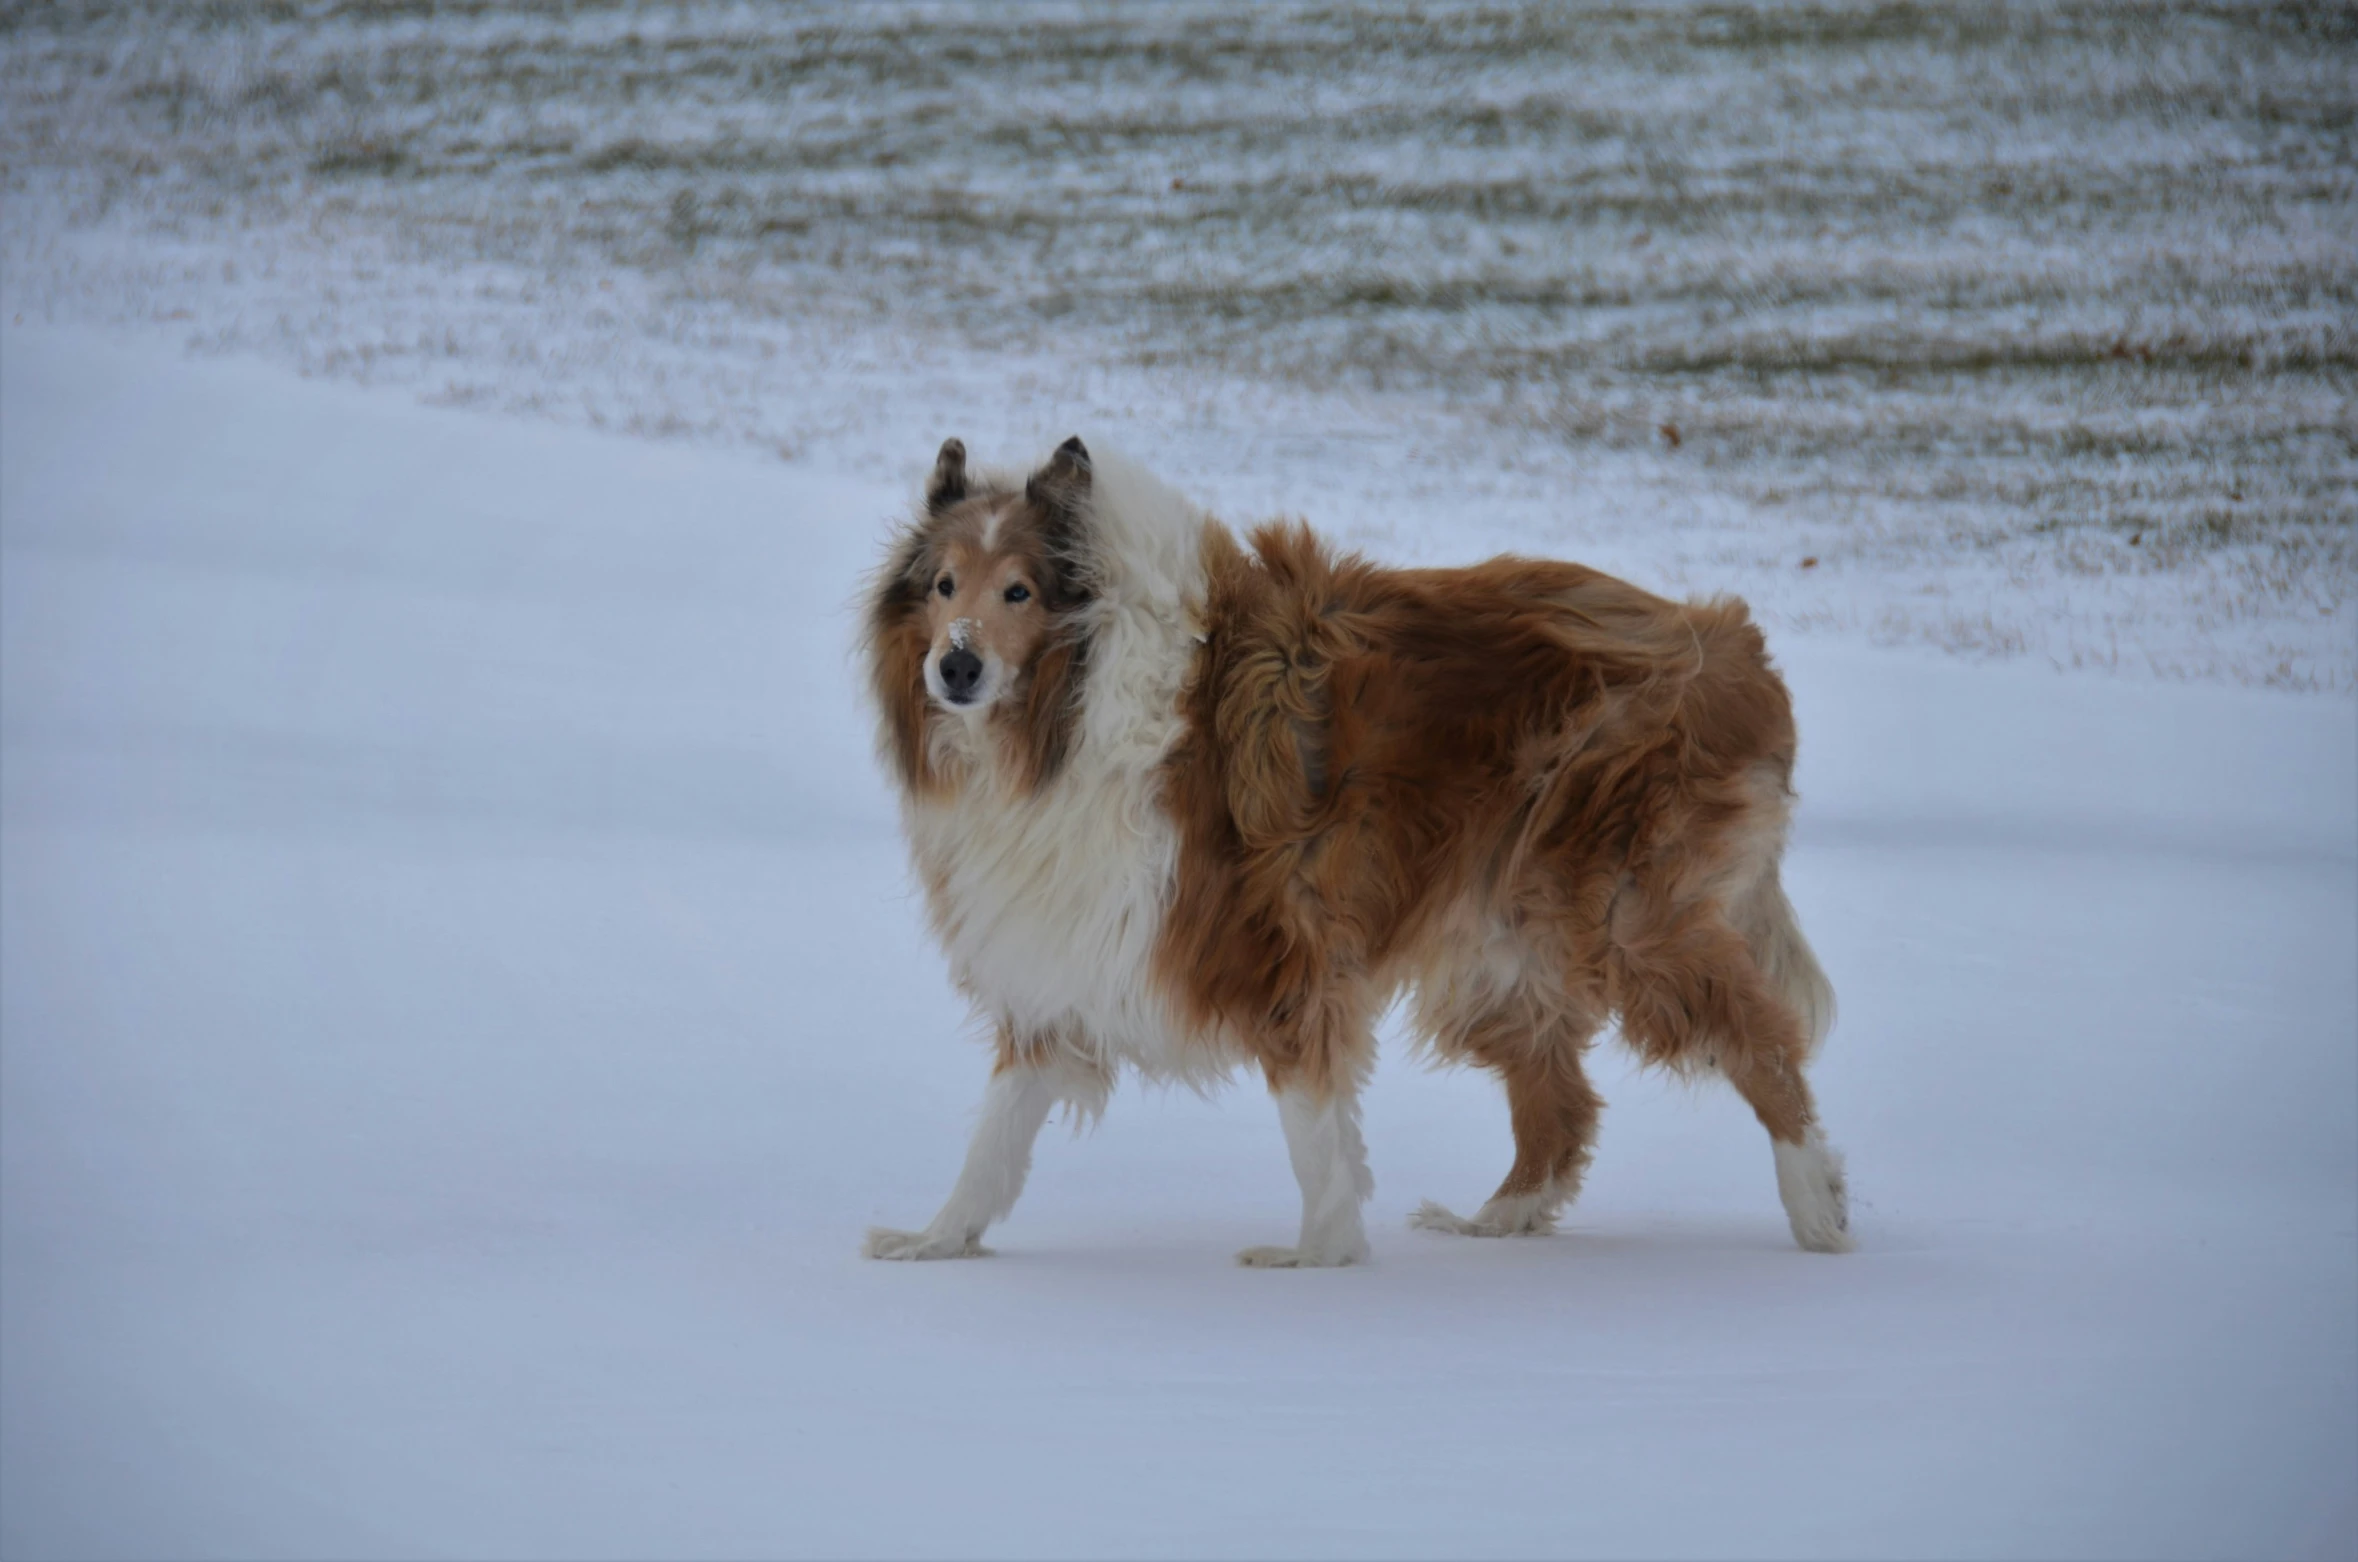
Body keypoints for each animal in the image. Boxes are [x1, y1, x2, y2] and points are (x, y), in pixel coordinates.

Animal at [858, 434, 1848, 1264]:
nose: (955, 667)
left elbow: (1310, 1123)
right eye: (944, 585)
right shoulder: (1065, 944)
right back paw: (1498, 1220)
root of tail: (1735, 648)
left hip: (1627, 917)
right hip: (1498, 943)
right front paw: (936, 1240)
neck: (1073, 704)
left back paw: (1818, 1209)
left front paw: (1319, 1256)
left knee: (1764, 1042)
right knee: (1562, 1101)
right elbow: (997, 1130)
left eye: (1018, 590)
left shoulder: (1274, 945)